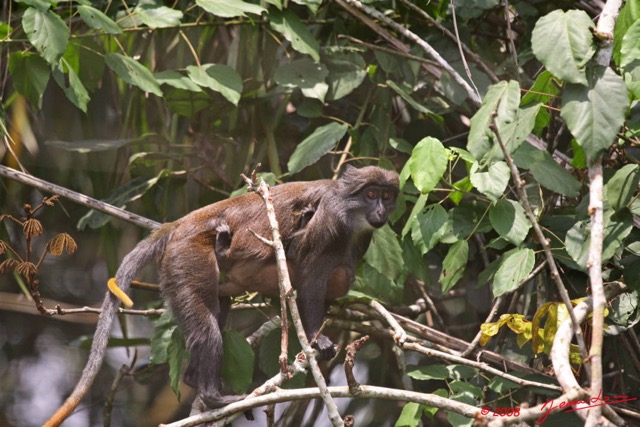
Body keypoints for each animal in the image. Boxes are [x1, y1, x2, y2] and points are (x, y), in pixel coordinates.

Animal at [43, 166, 396, 426]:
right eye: (370, 194)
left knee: (219, 306)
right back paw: (214, 396)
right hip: (187, 255)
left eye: (387, 196)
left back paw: (193, 376)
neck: (352, 216)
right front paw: (316, 338)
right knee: (207, 329)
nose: (381, 210)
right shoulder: (331, 221)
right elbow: (310, 276)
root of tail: (184, 222)